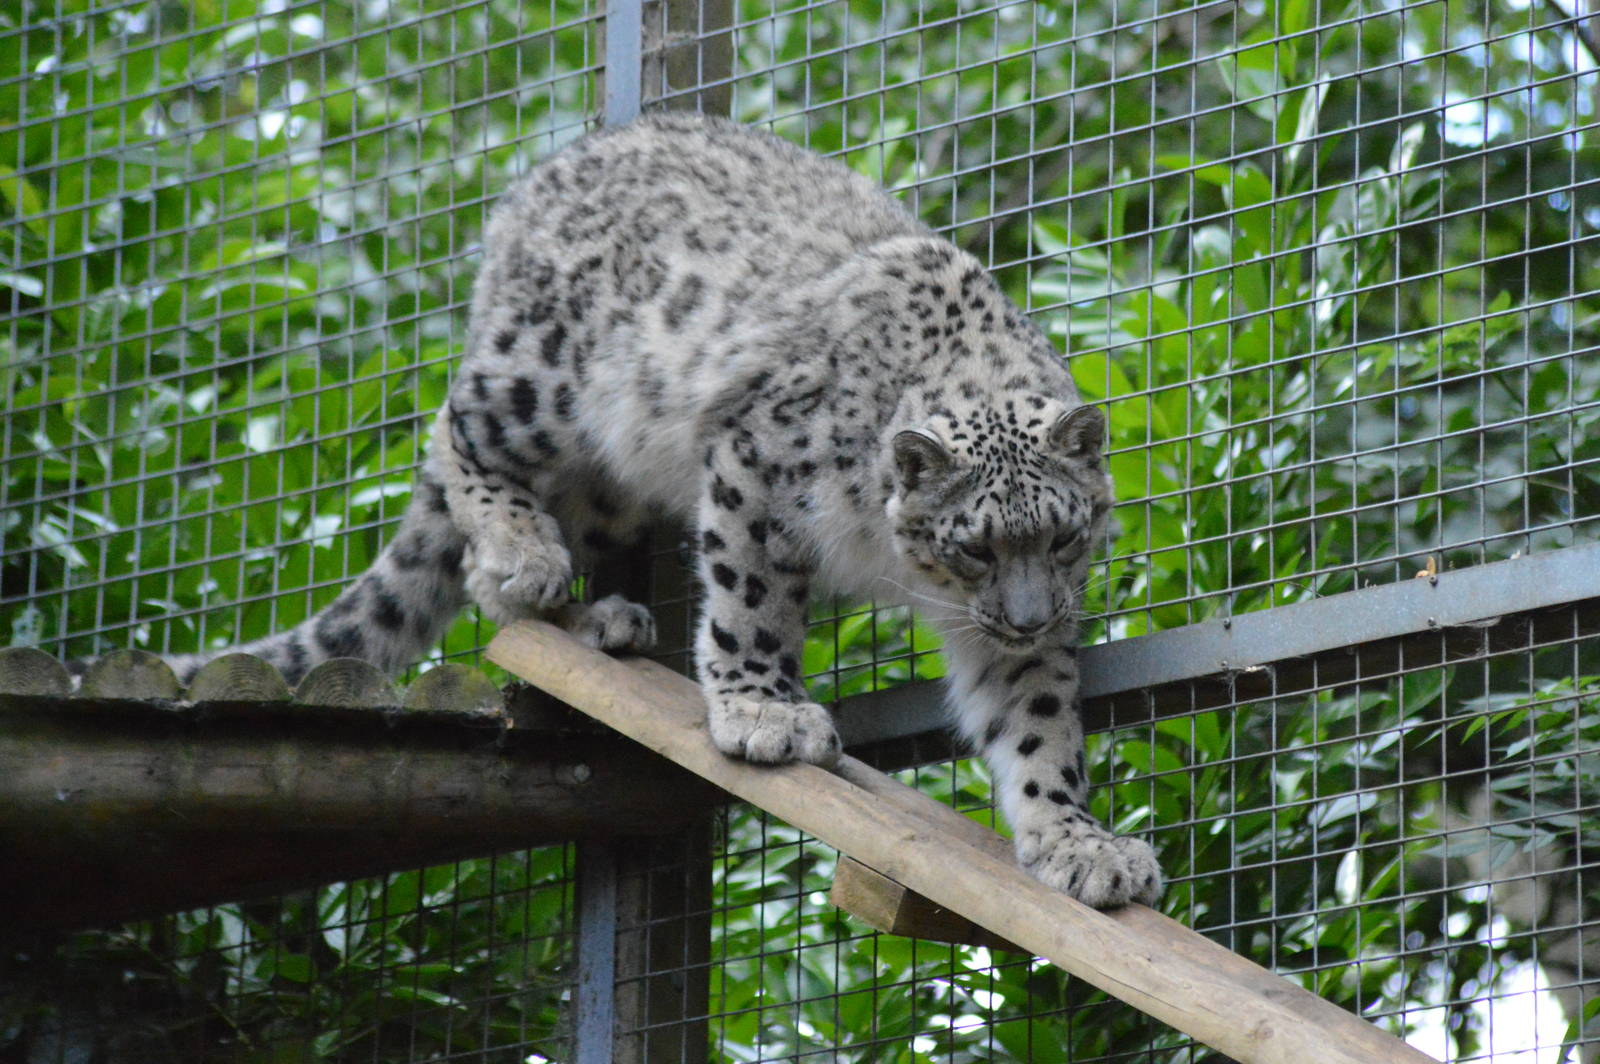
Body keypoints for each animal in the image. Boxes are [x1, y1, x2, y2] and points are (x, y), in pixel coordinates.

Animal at [156, 113, 1162, 909]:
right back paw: (524, 553)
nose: (1029, 618)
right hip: (546, 382)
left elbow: (1035, 718)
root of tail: (544, 177)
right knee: (451, 431)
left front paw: (1081, 843)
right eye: (976, 549)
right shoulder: (758, 469)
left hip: (608, 478)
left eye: (1064, 538)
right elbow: (753, 603)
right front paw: (764, 712)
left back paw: (590, 613)